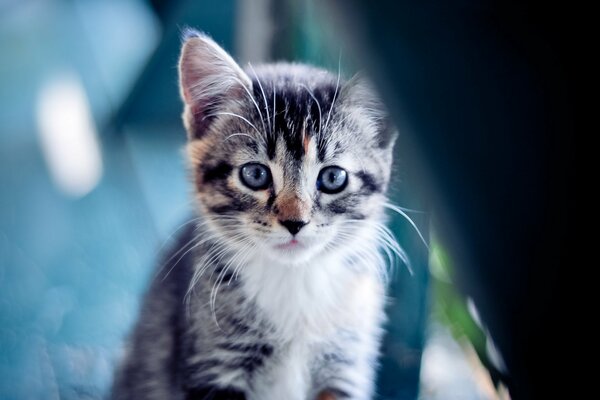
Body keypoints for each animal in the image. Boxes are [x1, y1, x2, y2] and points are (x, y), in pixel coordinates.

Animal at [112, 31, 404, 400]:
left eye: (333, 178)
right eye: (255, 174)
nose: (295, 222)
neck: (295, 281)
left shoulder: (345, 363)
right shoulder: (214, 363)